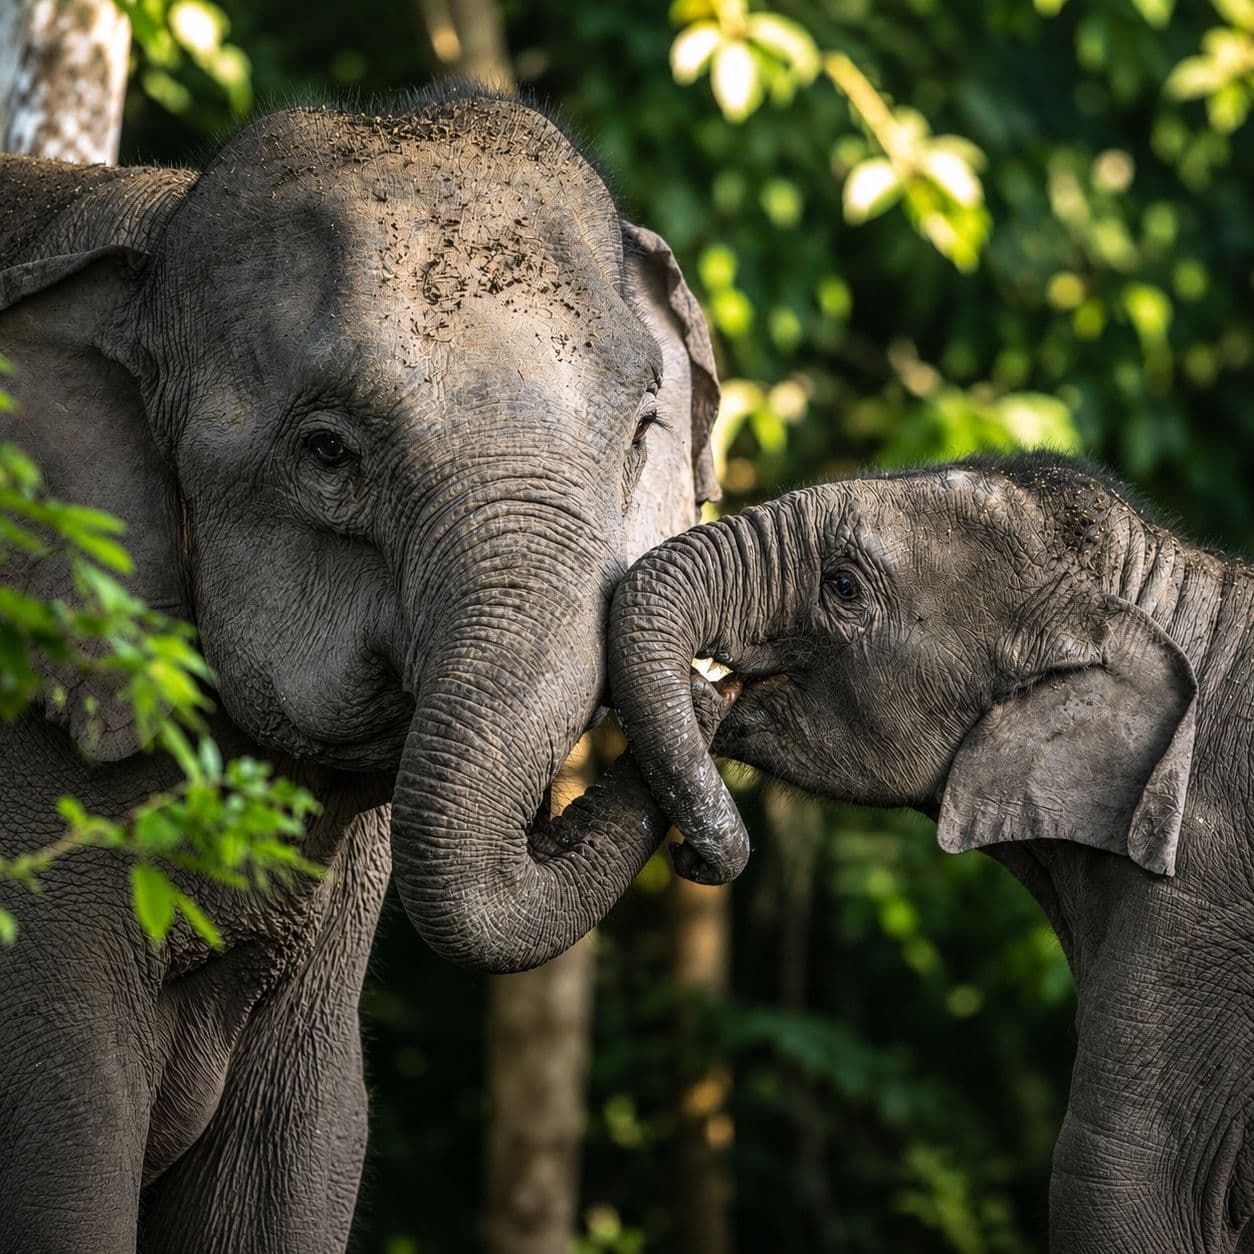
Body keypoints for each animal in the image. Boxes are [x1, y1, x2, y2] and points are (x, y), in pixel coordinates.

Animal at [0, 88, 728, 1251]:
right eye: (329, 454)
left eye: (637, 436)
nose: (716, 694)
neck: (148, 236)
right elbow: (60, 1146)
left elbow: (302, 1149)